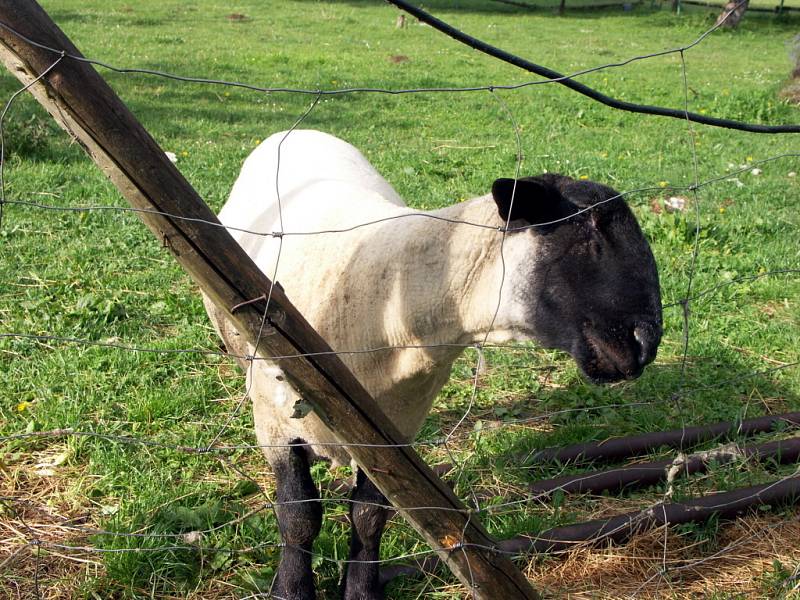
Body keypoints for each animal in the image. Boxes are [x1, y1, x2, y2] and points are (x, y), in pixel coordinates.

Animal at [202, 131, 664, 600]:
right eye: (589, 238)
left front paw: (361, 591)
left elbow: (369, 516)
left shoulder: (393, 429)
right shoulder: (275, 422)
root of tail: (297, 133)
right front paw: (291, 590)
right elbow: (299, 517)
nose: (646, 343)